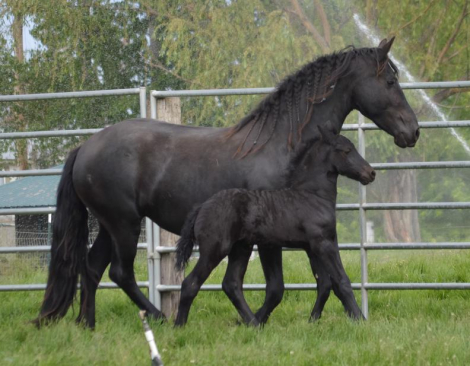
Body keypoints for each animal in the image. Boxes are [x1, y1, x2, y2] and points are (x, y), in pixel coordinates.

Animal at [174, 126, 376, 326]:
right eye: (346, 150)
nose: (370, 173)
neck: (312, 196)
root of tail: (202, 206)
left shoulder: (315, 246)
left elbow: (325, 284)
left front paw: (313, 320)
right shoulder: (323, 243)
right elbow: (341, 281)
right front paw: (360, 319)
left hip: (241, 249)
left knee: (231, 284)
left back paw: (254, 324)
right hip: (214, 249)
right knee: (191, 283)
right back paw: (180, 326)